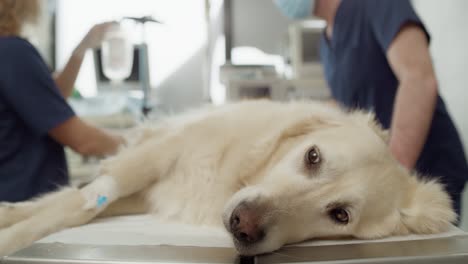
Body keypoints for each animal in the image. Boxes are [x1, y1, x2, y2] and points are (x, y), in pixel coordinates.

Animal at [0, 99, 458, 256]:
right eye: (312, 157)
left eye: (340, 215)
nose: (244, 225)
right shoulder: (160, 155)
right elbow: (74, 206)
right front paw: (11, 236)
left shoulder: (148, 193)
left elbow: (73, 209)